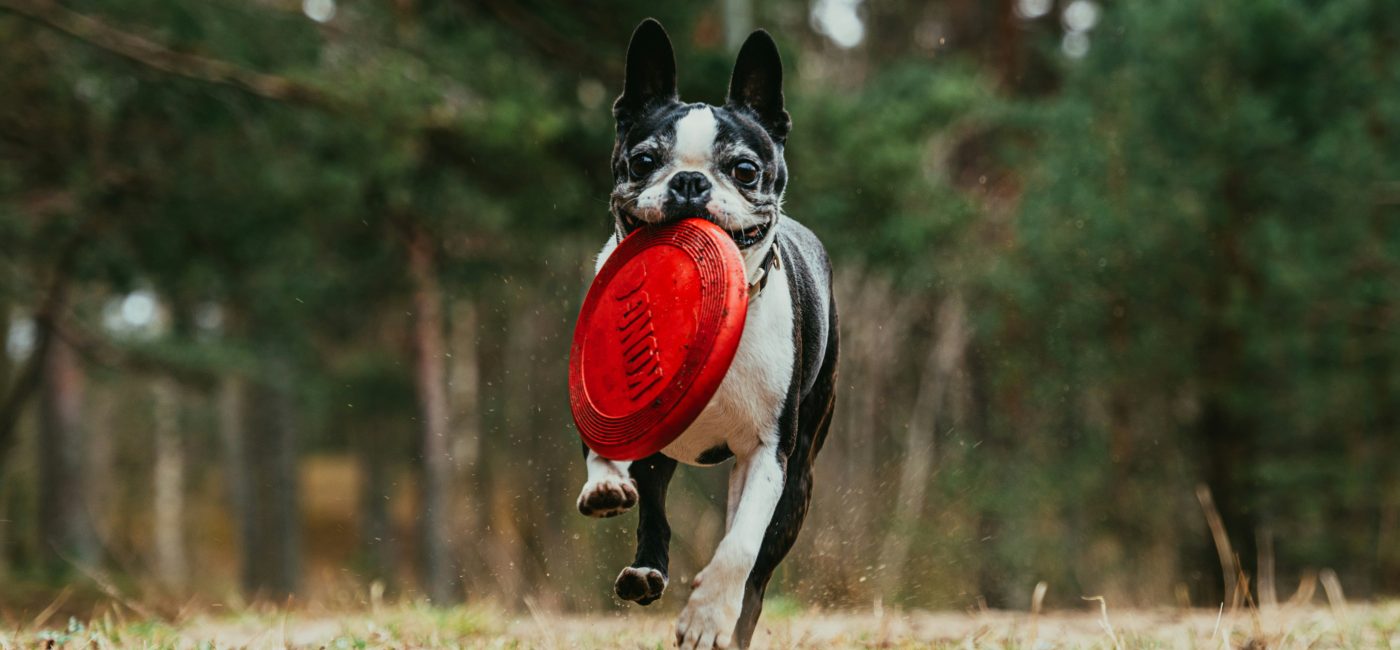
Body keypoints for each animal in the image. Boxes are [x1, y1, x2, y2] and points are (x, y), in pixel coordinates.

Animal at [574, 19, 834, 650]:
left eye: (744, 170)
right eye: (643, 161)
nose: (689, 181)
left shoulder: (769, 453)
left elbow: (739, 546)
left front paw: (706, 617)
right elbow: (601, 442)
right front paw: (603, 485)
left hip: (800, 481)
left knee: (757, 571)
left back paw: (730, 621)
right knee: (655, 510)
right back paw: (644, 570)